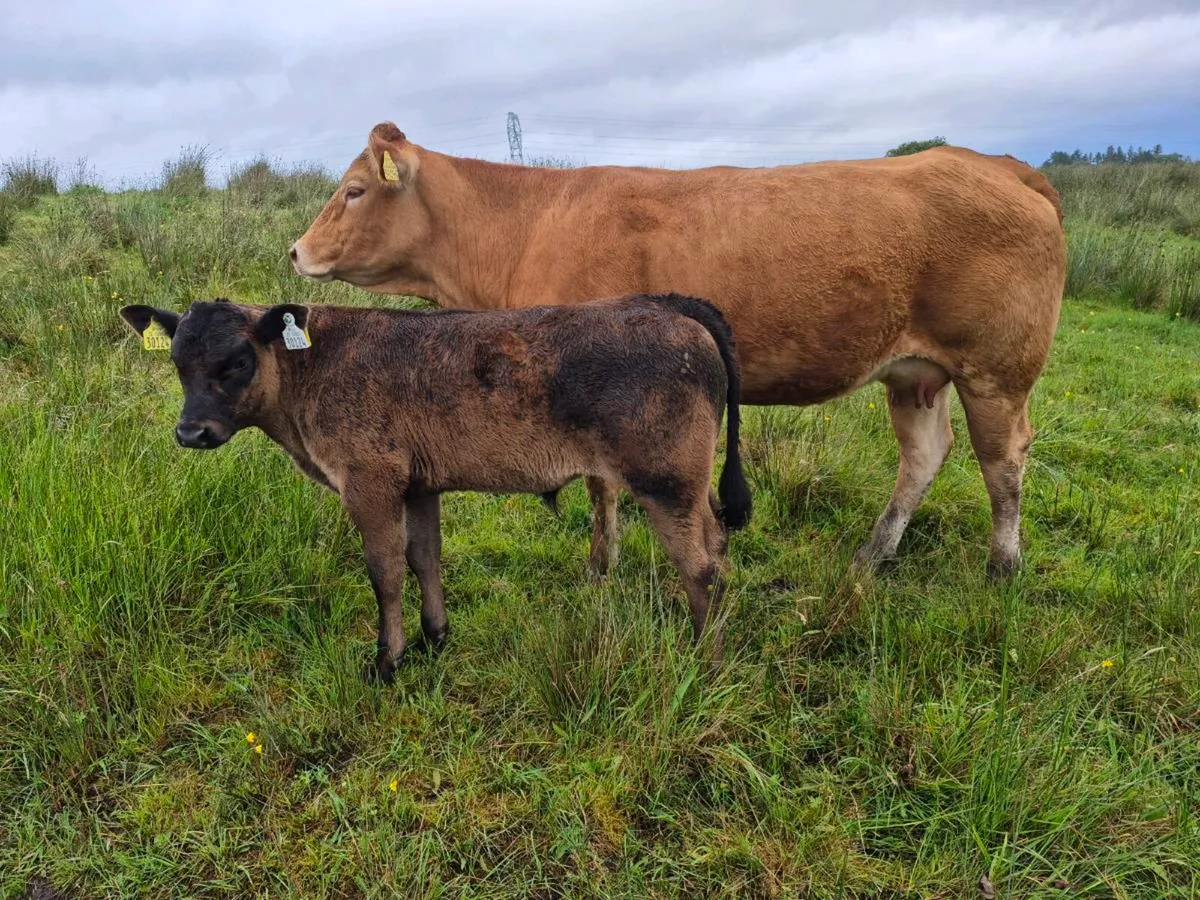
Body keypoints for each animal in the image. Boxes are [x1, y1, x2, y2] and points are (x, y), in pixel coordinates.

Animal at [119, 294, 752, 683]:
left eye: (237, 360)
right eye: (177, 362)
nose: (191, 431)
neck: (310, 367)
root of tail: (668, 305)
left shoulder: (369, 482)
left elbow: (385, 571)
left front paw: (387, 661)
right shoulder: (419, 485)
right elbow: (425, 557)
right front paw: (434, 636)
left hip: (666, 481)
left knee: (702, 569)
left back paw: (708, 664)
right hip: (689, 487)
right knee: (718, 546)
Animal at [290, 123, 1066, 579]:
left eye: (353, 190)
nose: (296, 250)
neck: (525, 225)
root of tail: (997, 164)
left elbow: (601, 488)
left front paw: (600, 567)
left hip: (996, 371)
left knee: (1002, 462)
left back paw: (1002, 565)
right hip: (915, 373)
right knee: (925, 454)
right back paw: (873, 555)